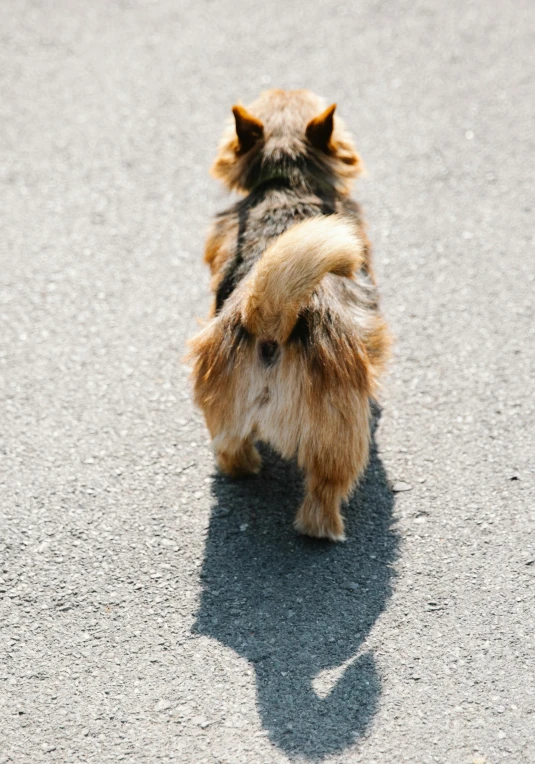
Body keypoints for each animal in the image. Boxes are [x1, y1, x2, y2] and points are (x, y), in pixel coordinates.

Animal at [188, 89, 390, 540]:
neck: (287, 184)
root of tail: (270, 320)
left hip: (222, 406)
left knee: (231, 450)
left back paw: (244, 468)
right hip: (339, 437)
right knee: (323, 492)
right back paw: (326, 529)